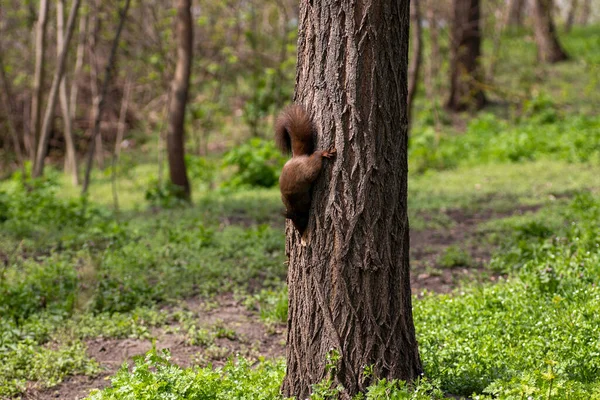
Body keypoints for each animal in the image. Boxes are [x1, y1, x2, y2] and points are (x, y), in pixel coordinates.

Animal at [274, 104, 336, 241]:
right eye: (295, 225)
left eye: (301, 222)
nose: (301, 233)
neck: (294, 208)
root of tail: (298, 157)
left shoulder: (303, 201)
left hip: (309, 170)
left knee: (316, 157)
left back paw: (323, 153)